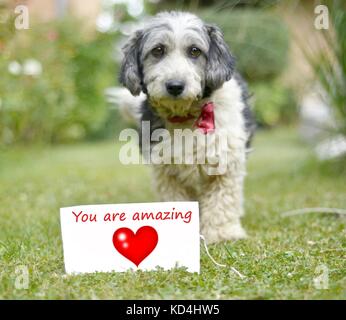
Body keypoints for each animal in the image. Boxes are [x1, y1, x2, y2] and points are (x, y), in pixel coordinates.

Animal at [117, 11, 255, 244]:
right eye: (158, 50)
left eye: (194, 51)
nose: (175, 86)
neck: (186, 117)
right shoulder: (166, 171)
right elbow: (176, 200)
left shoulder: (226, 164)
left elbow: (222, 200)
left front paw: (221, 233)